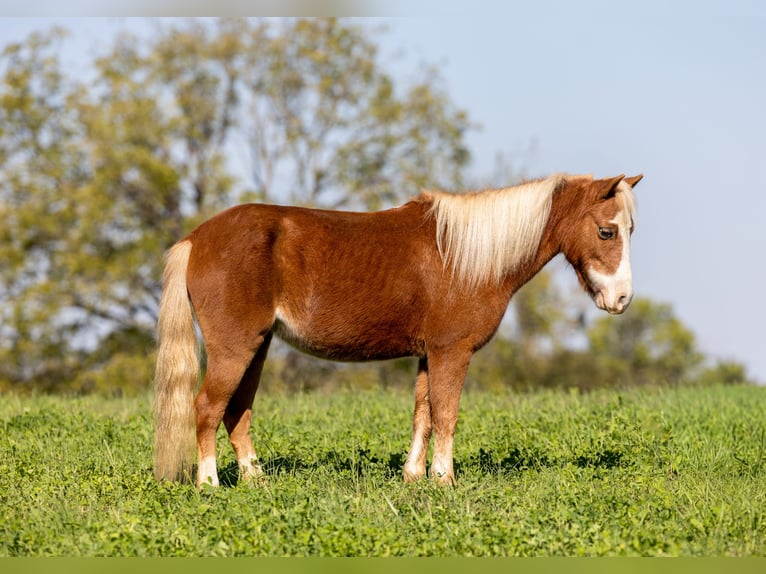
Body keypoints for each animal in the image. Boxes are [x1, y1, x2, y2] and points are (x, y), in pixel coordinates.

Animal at [153, 172, 642, 487]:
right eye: (606, 231)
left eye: (630, 230)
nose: (622, 299)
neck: (465, 255)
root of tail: (195, 239)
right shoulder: (451, 350)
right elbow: (446, 414)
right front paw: (444, 481)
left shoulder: (428, 353)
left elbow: (422, 414)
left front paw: (413, 477)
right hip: (234, 347)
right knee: (207, 407)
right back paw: (210, 484)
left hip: (258, 346)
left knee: (237, 412)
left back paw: (255, 481)